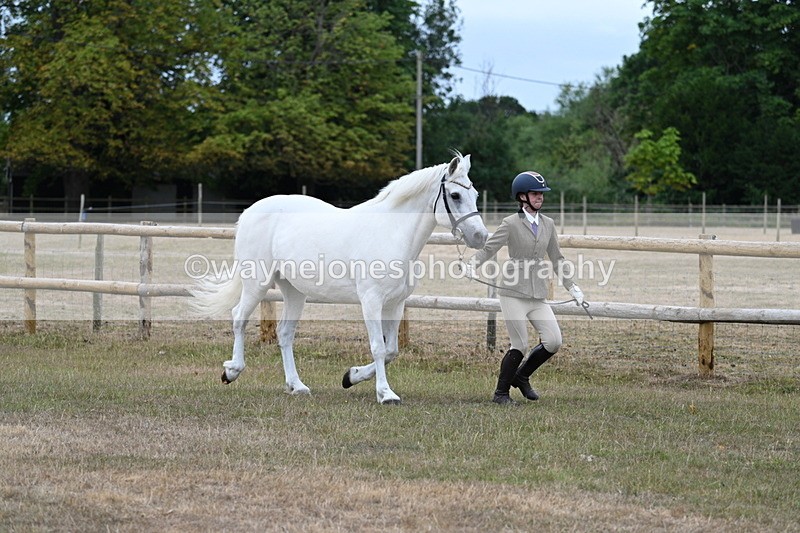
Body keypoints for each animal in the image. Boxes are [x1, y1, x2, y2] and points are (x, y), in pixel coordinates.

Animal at [190, 152, 488, 404]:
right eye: (455, 195)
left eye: (474, 193)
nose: (480, 236)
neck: (391, 232)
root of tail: (249, 212)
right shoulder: (371, 301)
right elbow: (379, 348)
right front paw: (385, 394)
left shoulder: (396, 303)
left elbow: (391, 349)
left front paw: (351, 377)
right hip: (257, 282)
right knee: (239, 318)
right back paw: (231, 371)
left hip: (294, 291)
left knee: (284, 333)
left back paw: (297, 386)